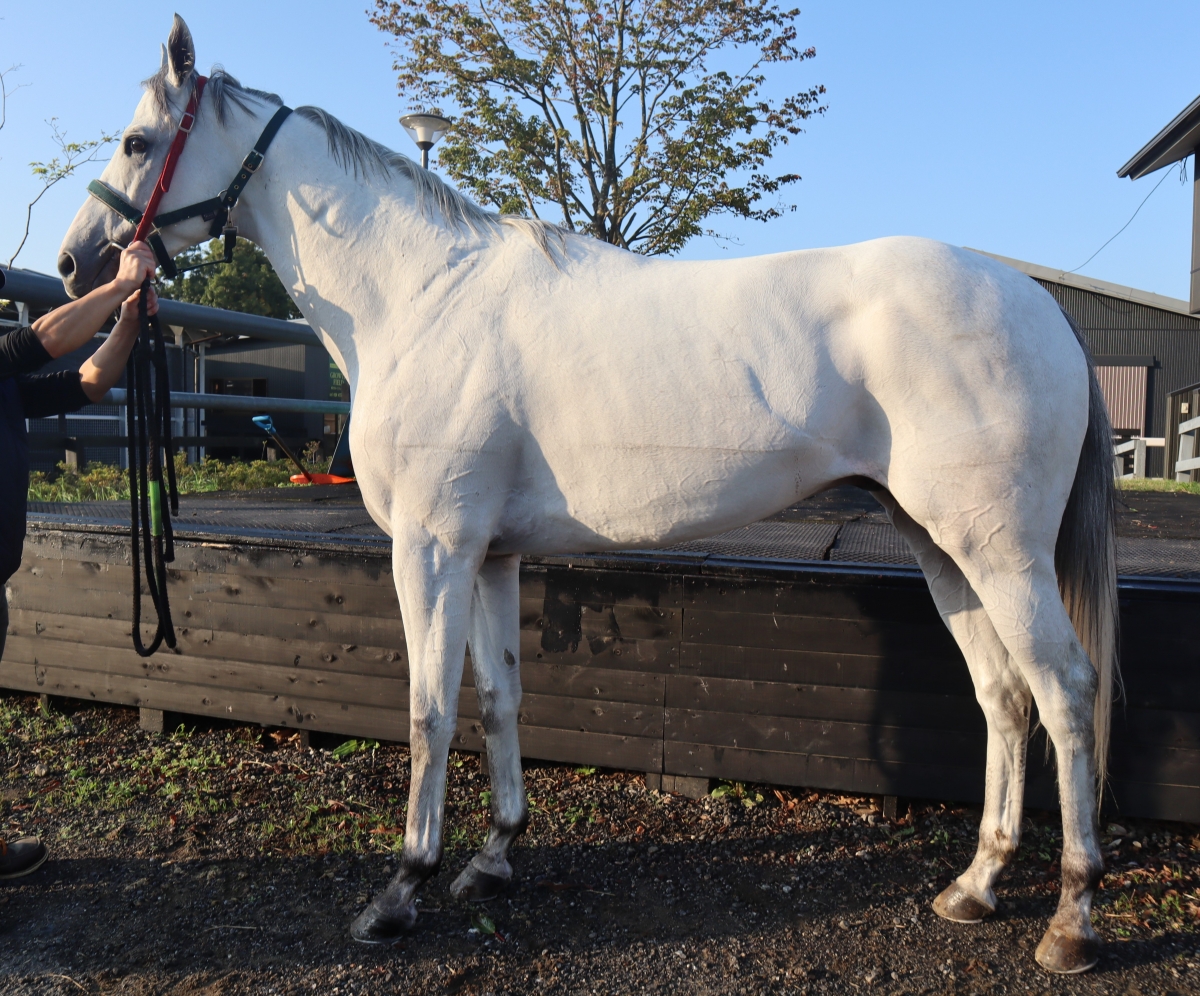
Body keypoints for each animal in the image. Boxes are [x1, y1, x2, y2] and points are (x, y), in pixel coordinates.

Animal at [58, 16, 1116, 974]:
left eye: (139, 142)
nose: (76, 264)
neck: (422, 297)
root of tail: (1041, 306)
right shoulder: (491, 555)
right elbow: (500, 699)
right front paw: (492, 859)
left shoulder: (430, 549)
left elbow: (428, 713)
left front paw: (400, 891)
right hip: (942, 544)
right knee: (1003, 694)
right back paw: (977, 885)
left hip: (999, 551)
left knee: (1064, 689)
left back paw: (1072, 918)